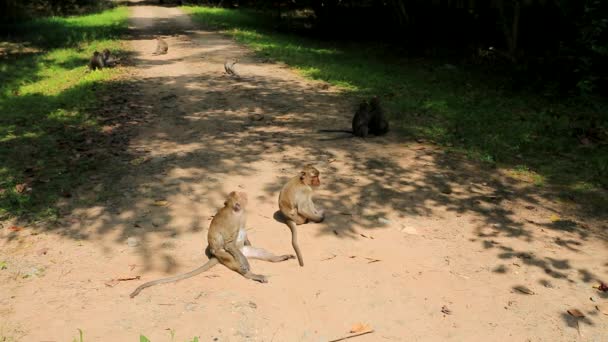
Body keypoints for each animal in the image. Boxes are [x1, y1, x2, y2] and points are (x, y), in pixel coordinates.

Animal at [129, 191, 296, 298]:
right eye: (241, 195)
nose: (246, 194)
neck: (236, 212)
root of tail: (215, 255)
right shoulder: (231, 223)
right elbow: (228, 244)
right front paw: (246, 267)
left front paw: (249, 240)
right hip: (226, 255)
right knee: (235, 259)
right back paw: (251, 274)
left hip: (245, 250)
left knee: (260, 252)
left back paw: (279, 258)